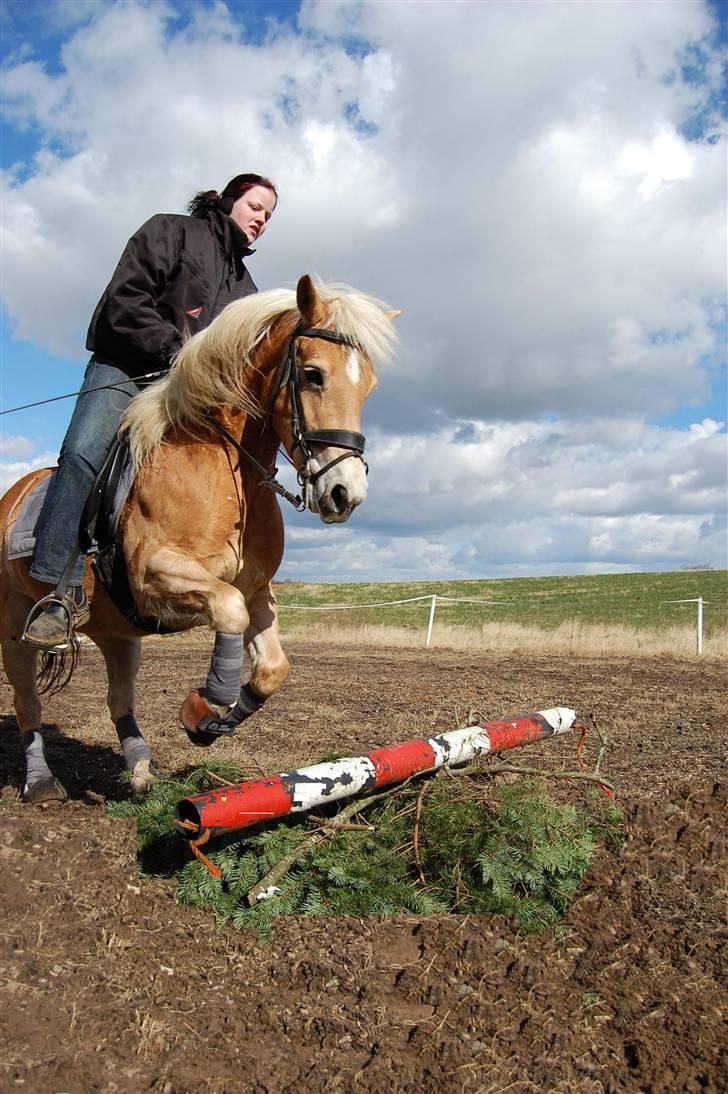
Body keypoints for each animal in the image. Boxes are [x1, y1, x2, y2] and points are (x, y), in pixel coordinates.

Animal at [0, 275, 398, 803]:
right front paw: (203, 707)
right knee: (27, 703)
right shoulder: (156, 575)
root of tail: (13, 494)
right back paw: (42, 782)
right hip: (13, 625)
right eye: (313, 374)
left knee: (118, 698)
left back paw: (142, 772)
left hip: (116, 633)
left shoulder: (256, 592)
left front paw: (206, 724)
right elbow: (227, 609)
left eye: (370, 387)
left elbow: (272, 669)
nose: (345, 493)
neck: (222, 470)